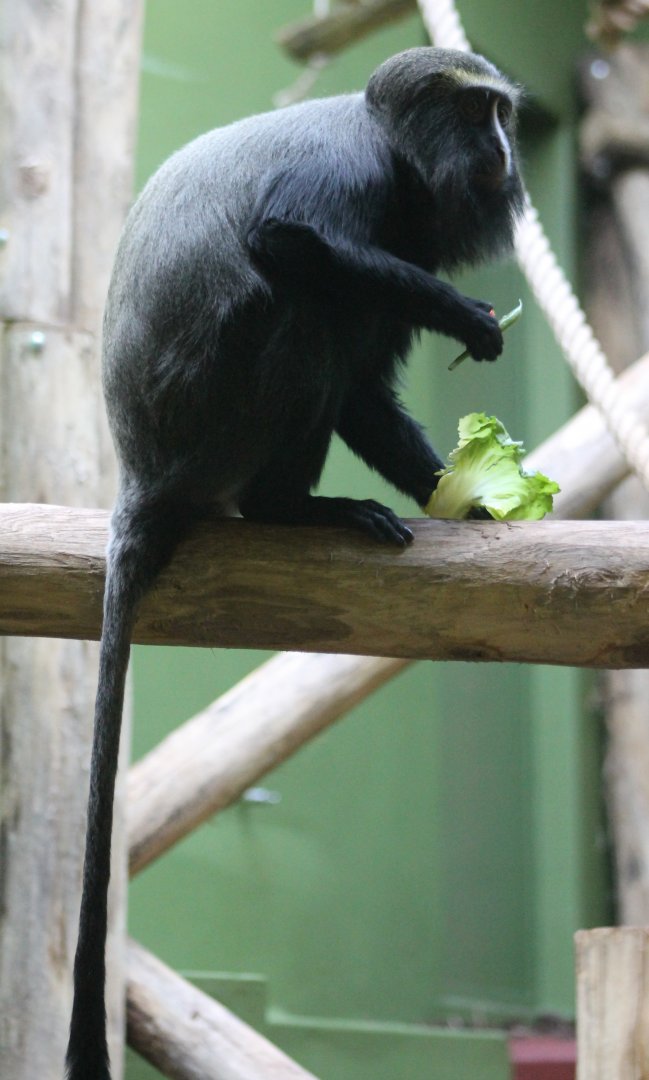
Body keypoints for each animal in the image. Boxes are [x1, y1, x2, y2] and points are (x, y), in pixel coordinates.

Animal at [64, 47, 524, 1080]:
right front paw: (463, 316)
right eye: (480, 113)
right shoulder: (346, 182)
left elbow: (365, 394)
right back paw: (296, 508)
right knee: (311, 292)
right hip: (219, 416)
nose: (508, 151)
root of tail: (142, 472)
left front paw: (477, 496)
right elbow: (282, 238)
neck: (393, 157)